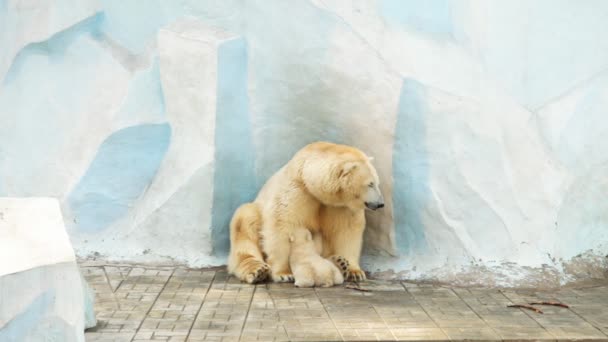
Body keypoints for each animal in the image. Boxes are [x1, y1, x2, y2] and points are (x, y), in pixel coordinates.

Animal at [228, 140, 384, 284]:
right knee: (245, 223)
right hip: (254, 211)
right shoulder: (297, 191)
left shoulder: (341, 206)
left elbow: (346, 231)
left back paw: (339, 262)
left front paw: (354, 272)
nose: (381, 204)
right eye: (370, 184)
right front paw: (284, 274)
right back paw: (257, 270)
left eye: (377, 183)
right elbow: (281, 226)